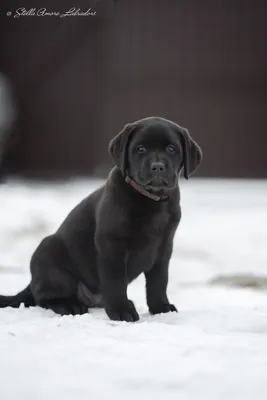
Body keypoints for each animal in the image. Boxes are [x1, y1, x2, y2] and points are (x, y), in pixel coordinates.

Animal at [0, 116, 202, 322]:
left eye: (171, 148)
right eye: (140, 148)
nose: (157, 166)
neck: (151, 199)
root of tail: (32, 281)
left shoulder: (163, 247)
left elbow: (159, 281)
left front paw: (160, 307)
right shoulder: (111, 244)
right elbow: (116, 280)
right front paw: (121, 311)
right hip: (49, 253)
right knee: (44, 297)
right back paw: (70, 305)